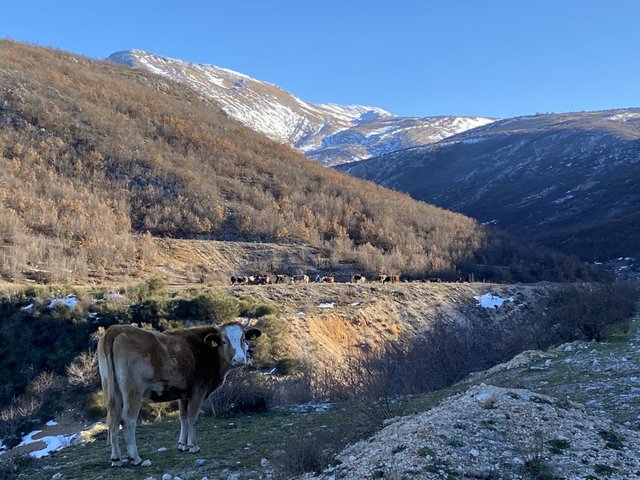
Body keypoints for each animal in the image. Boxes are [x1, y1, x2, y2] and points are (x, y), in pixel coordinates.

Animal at [97, 321, 261, 467]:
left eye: (243, 339)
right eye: (224, 341)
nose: (239, 359)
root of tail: (114, 329)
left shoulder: (183, 393)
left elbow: (183, 417)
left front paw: (182, 445)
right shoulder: (198, 391)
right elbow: (192, 418)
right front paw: (193, 446)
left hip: (112, 389)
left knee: (113, 420)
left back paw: (116, 459)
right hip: (133, 390)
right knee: (127, 420)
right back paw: (135, 458)